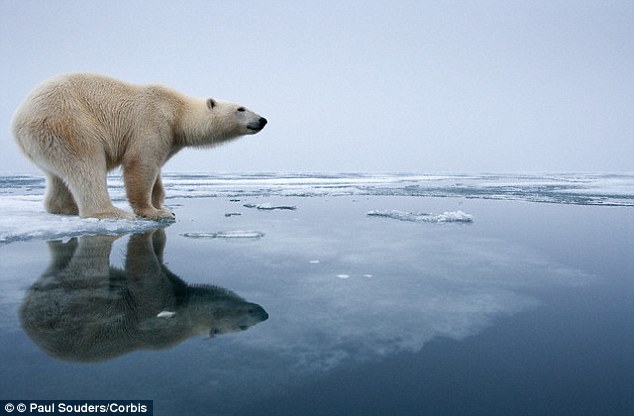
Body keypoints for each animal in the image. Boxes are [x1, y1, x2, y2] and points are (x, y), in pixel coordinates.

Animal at [12, 72, 264, 219]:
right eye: (241, 108)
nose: (262, 120)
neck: (178, 111)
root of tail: (17, 121)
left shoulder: (169, 138)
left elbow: (157, 171)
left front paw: (163, 206)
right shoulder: (153, 120)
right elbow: (141, 164)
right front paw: (153, 212)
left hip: (45, 141)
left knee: (58, 175)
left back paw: (67, 208)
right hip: (68, 121)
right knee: (86, 163)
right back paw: (112, 212)